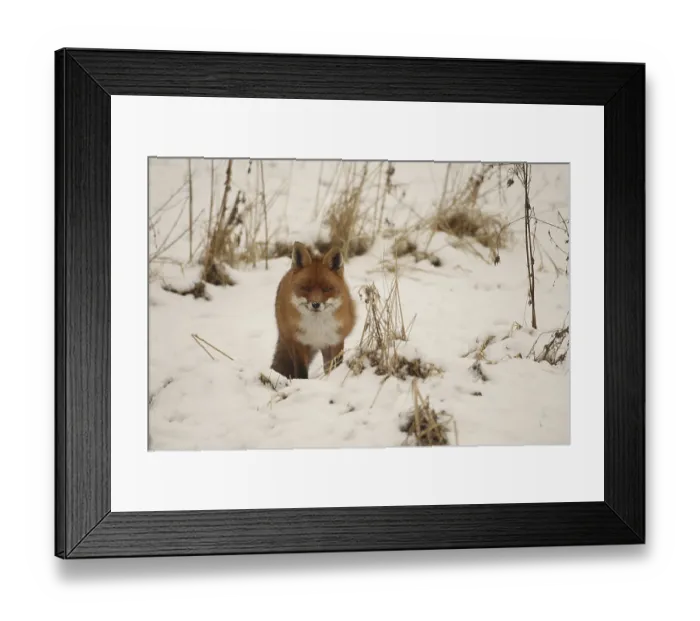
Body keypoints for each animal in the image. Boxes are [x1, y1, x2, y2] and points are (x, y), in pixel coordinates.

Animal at [271, 241, 357, 380]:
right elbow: (301, 371)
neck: (317, 328)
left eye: (326, 289)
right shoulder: (299, 343)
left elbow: (335, 366)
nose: (316, 304)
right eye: (306, 288)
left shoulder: (335, 342)